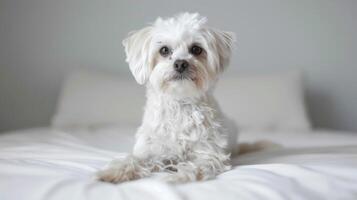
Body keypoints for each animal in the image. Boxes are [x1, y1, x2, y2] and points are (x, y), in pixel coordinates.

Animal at [96, 12, 239, 184]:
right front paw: (115, 171)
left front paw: (178, 176)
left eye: (196, 49)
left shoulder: (210, 153)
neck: (179, 103)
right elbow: (134, 159)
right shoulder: (150, 149)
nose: (181, 63)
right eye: (164, 50)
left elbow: (196, 166)